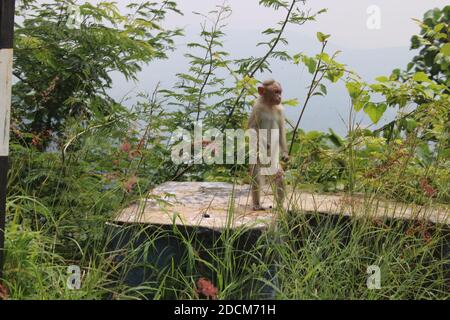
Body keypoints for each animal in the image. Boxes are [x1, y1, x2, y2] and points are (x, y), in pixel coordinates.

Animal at [248, 79, 290, 211]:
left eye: (280, 92)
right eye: (276, 92)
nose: (280, 97)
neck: (269, 105)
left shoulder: (280, 109)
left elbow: (281, 131)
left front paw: (285, 154)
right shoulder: (257, 108)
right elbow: (252, 130)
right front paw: (262, 146)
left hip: (272, 162)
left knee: (279, 176)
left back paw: (279, 206)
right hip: (258, 162)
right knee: (256, 178)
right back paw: (257, 204)